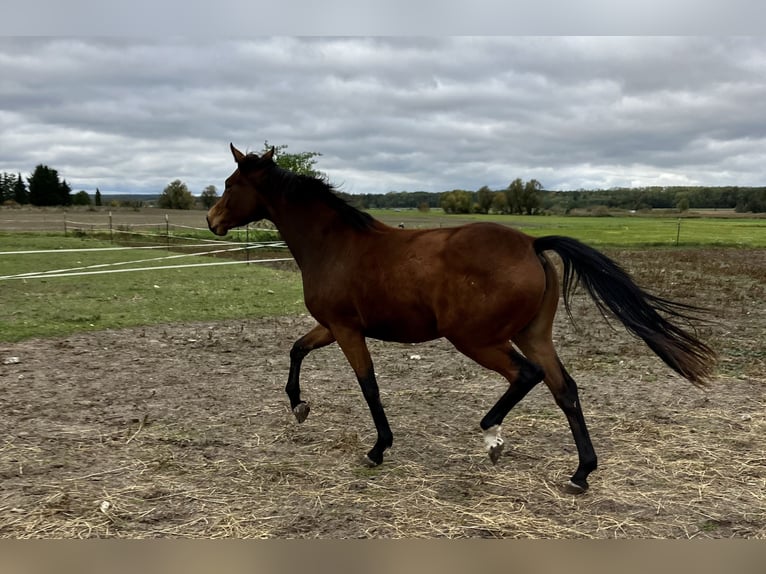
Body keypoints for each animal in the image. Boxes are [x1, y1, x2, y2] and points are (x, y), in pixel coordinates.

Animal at [207, 145, 716, 496]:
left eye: (230, 183)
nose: (212, 220)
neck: (334, 245)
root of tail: (531, 243)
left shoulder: (348, 330)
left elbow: (368, 385)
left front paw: (377, 449)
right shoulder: (332, 327)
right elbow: (296, 349)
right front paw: (299, 406)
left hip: (475, 339)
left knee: (526, 375)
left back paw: (492, 437)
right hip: (532, 334)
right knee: (564, 388)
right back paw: (580, 474)